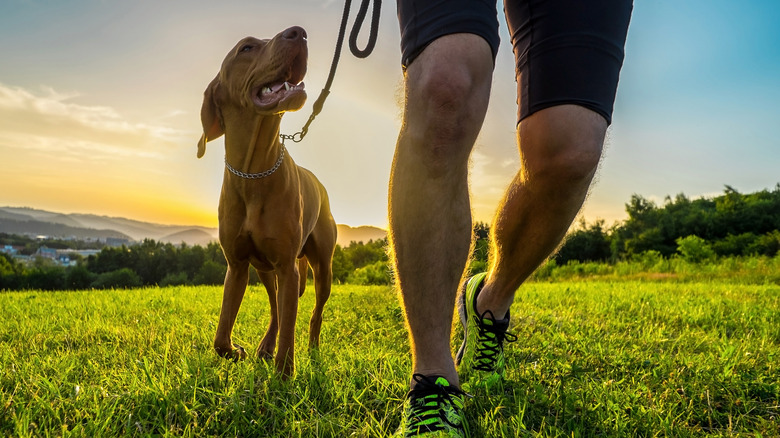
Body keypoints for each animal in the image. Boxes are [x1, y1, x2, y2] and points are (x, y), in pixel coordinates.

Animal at [197, 26, 336, 376]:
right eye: (246, 47)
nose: (299, 33)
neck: (253, 172)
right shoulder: (237, 266)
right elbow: (220, 337)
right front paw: (237, 351)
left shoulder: (288, 266)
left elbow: (290, 328)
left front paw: (284, 374)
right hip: (264, 270)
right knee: (276, 308)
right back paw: (265, 346)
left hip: (322, 268)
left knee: (313, 313)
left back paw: (312, 348)